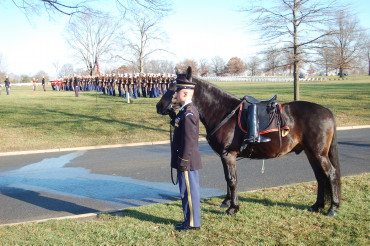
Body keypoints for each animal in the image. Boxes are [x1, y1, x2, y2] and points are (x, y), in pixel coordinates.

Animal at [156, 67, 342, 215]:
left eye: (176, 87)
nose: (159, 106)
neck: (222, 112)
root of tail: (327, 112)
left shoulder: (228, 155)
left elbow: (232, 180)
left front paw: (233, 207)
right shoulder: (224, 156)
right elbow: (227, 178)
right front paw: (227, 202)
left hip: (318, 154)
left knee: (331, 174)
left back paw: (332, 208)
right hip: (311, 153)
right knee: (320, 177)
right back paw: (317, 205)